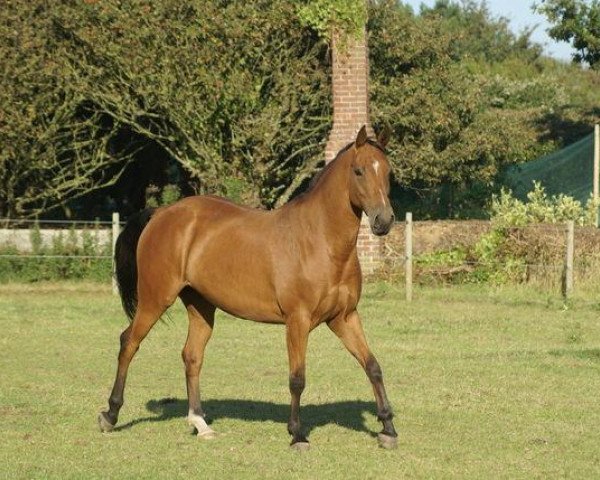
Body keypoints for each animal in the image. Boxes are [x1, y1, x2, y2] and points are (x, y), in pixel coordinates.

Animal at [98, 126, 398, 450]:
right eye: (358, 171)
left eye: (388, 172)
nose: (383, 220)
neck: (320, 241)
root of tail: (162, 213)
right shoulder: (298, 320)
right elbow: (297, 378)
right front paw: (297, 434)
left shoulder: (344, 317)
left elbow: (373, 366)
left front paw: (388, 429)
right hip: (155, 299)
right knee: (129, 342)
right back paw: (110, 415)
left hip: (200, 306)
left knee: (191, 356)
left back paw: (200, 423)